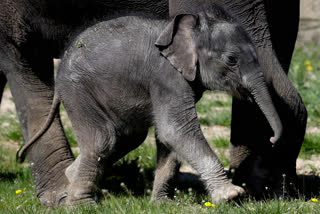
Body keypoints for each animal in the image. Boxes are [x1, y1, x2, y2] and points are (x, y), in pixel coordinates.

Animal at [0, 0, 304, 206]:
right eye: (231, 60)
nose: (273, 138)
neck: (188, 29)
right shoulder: (166, 78)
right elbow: (176, 130)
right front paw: (230, 195)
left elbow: (167, 137)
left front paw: (162, 203)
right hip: (78, 90)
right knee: (103, 139)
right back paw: (80, 203)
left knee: (126, 137)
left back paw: (72, 177)